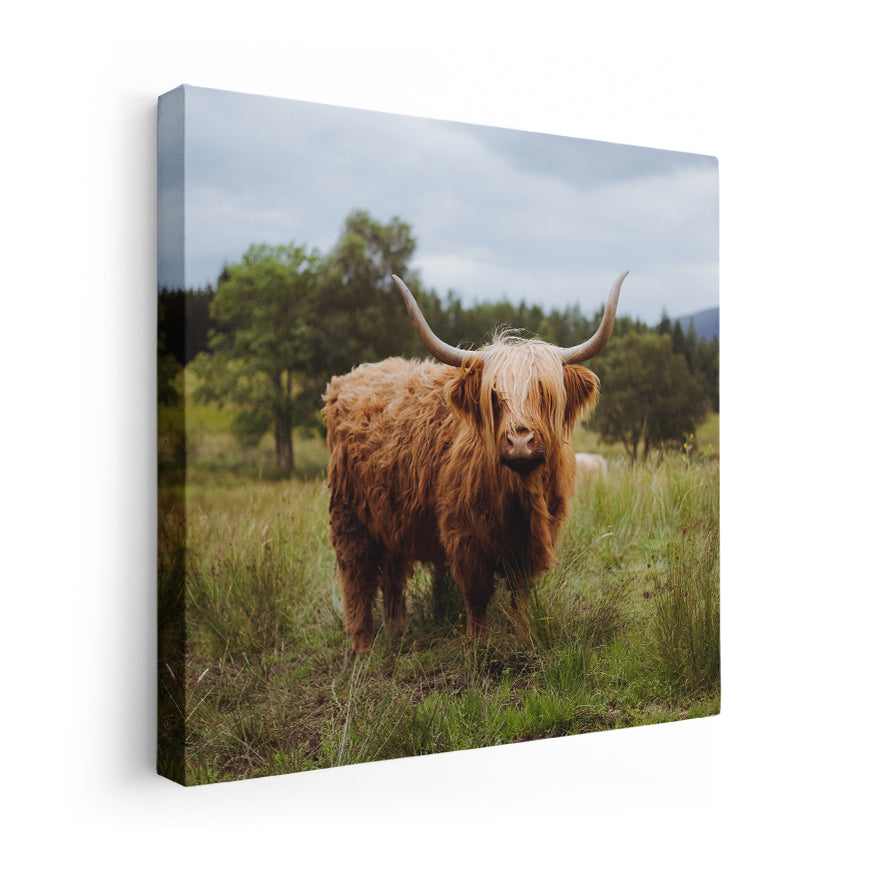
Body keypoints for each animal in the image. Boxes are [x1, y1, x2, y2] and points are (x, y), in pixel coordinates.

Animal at [323, 271, 628, 654]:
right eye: (494, 396)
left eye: (544, 393)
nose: (520, 441)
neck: (518, 497)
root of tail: (352, 376)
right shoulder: (464, 537)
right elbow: (477, 596)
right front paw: (478, 646)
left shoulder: (532, 542)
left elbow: (520, 595)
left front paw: (520, 636)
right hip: (349, 516)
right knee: (356, 578)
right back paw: (362, 647)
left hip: (390, 516)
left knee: (393, 573)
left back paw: (397, 632)